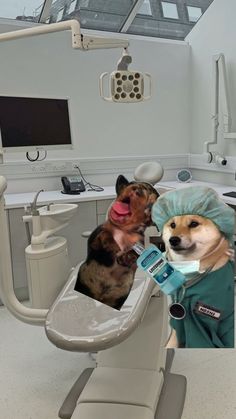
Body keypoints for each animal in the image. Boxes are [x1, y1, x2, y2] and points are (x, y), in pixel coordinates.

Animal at [74, 176, 159, 310]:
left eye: (151, 192)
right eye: (132, 184)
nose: (137, 190)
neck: (125, 229)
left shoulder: (139, 245)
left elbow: (135, 253)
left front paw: (126, 256)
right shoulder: (96, 237)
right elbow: (106, 235)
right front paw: (114, 246)